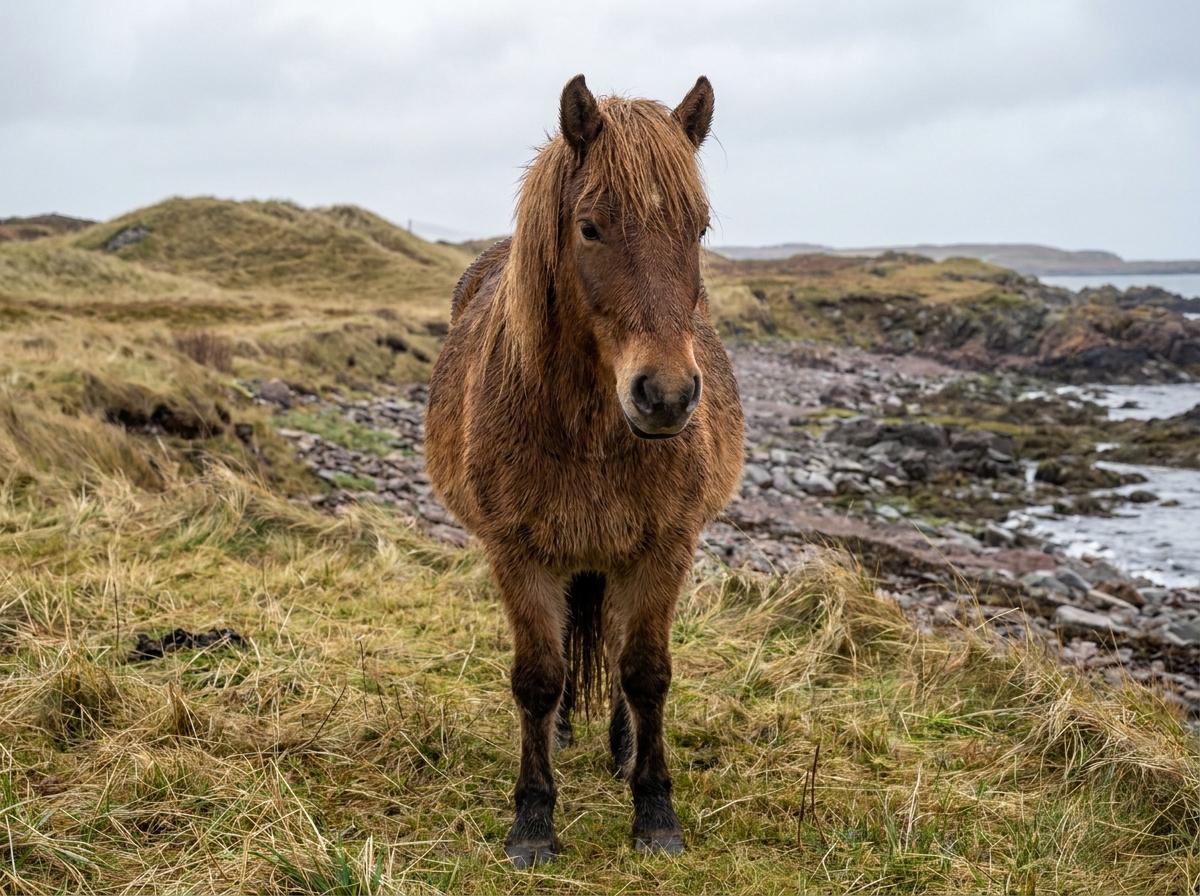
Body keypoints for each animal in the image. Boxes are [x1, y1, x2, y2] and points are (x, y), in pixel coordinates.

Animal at [425, 74, 744, 866]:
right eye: (591, 228)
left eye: (698, 229)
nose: (666, 396)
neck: (592, 434)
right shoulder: (518, 552)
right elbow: (539, 679)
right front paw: (533, 820)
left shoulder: (664, 549)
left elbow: (646, 674)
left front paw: (655, 812)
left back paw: (622, 748)